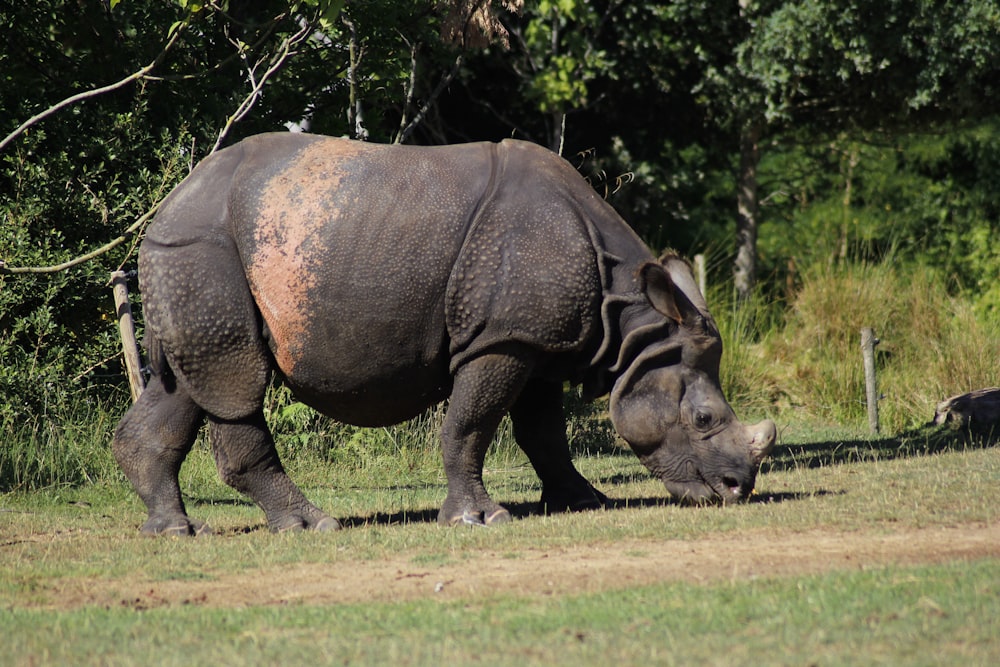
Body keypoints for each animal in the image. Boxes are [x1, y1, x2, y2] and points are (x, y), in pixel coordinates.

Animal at [113, 133, 776, 536]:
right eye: (704, 420)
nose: (737, 490)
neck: (632, 322)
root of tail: (164, 209)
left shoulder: (533, 336)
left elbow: (543, 433)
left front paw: (584, 501)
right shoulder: (500, 338)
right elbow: (472, 424)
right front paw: (480, 520)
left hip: (190, 260)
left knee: (186, 385)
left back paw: (175, 531)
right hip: (205, 252)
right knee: (236, 383)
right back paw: (311, 525)